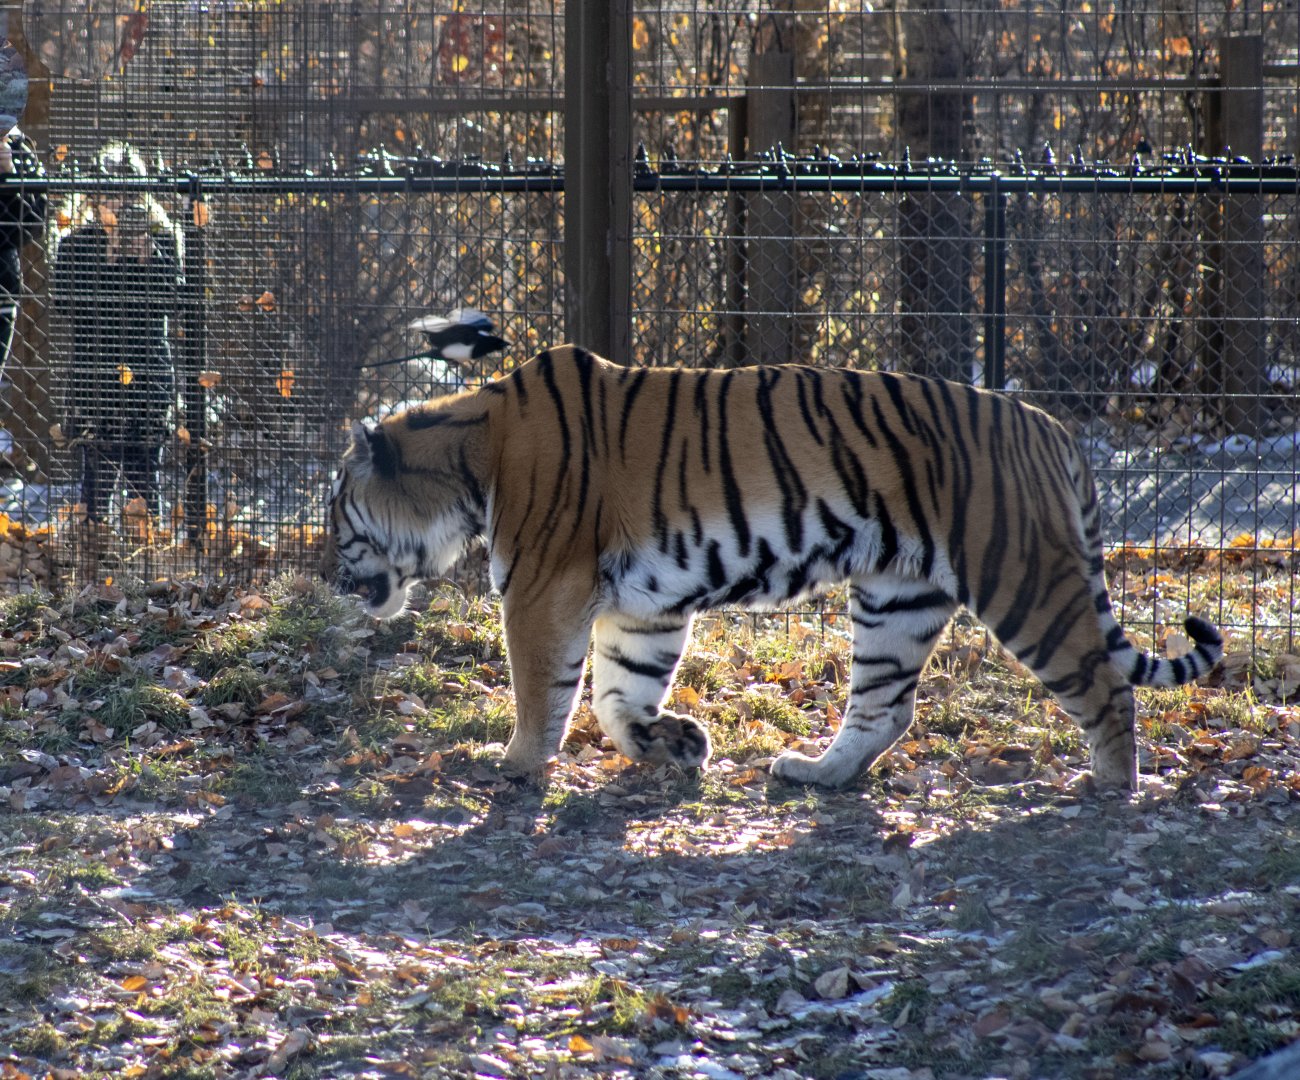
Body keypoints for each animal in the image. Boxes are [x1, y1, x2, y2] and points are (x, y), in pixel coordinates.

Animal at [322, 345, 1223, 791]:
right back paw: (817, 774)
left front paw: (514, 765)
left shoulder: (545, 589)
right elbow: (617, 694)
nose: (327, 575)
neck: (470, 460)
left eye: (335, 506)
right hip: (897, 598)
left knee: (1103, 684)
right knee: (885, 708)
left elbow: (542, 688)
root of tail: (1052, 426)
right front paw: (674, 743)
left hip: (1022, 575)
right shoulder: (642, 604)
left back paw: (1111, 786)